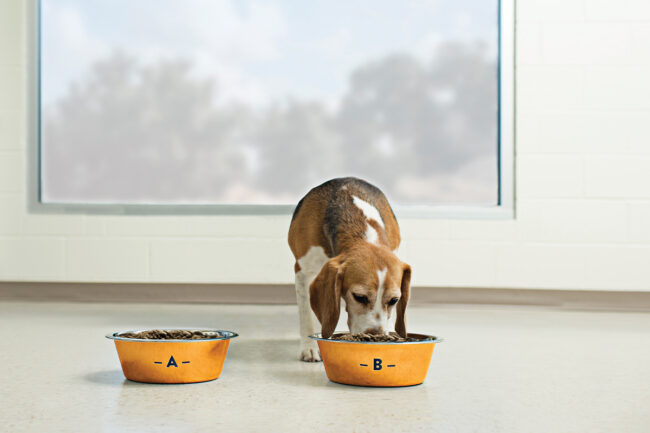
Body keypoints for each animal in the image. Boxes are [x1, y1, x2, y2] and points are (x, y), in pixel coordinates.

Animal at [288, 176, 410, 362]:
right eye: (359, 297)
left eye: (394, 301)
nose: (375, 337)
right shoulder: (303, 271)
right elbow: (306, 315)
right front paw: (310, 348)